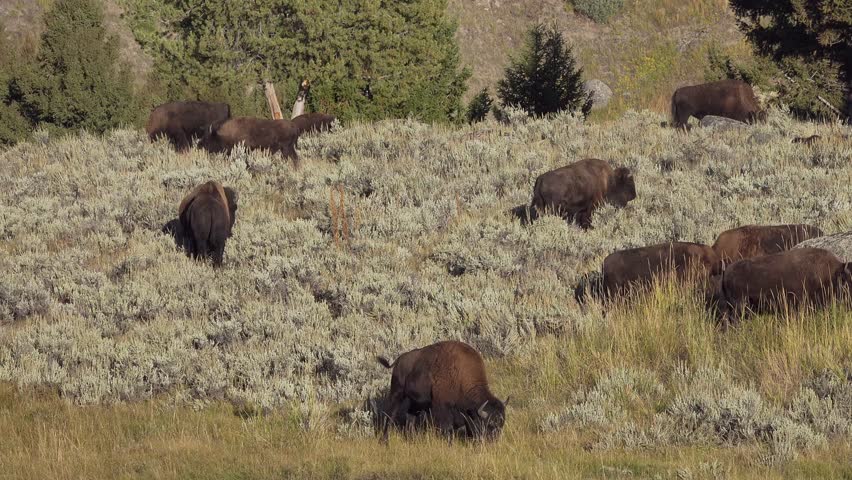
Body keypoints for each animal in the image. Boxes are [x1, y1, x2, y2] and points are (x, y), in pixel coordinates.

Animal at [376, 340, 508, 443]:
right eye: (489, 424)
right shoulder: (442, 407)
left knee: (410, 416)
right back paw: (385, 440)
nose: (493, 442)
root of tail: (398, 360)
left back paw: (412, 439)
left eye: (501, 424)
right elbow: (448, 428)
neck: (461, 375)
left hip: (417, 402)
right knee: (390, 415)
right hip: (397, 393)